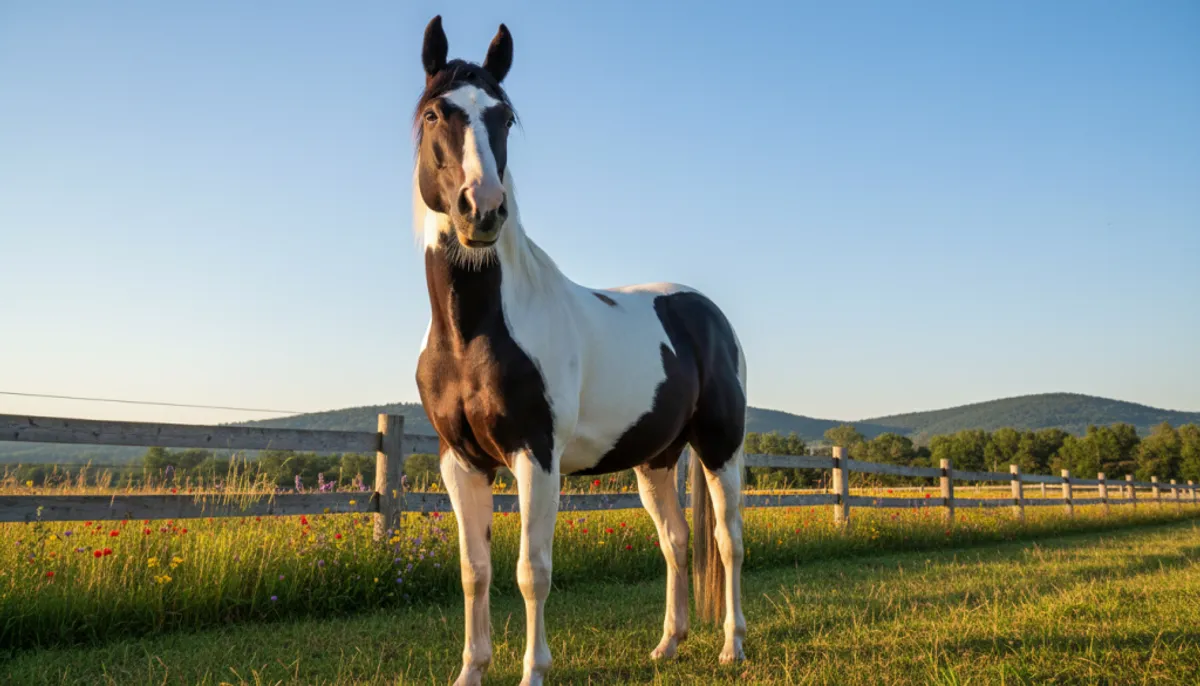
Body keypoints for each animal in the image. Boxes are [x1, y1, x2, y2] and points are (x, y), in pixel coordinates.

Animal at [410, 16, 747, 686]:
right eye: (435, 113)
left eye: (504, 116)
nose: (482, 209)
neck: (473, 333)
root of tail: (706, 314)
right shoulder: (461, 462)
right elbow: (474, 572)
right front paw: (471, 671)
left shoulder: (535, 457)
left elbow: (531, 572)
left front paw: (533, 672)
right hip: (657, 459)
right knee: (675, 541)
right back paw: (668, 644)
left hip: (720, 447)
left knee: (728, 541)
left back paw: (732, 646)